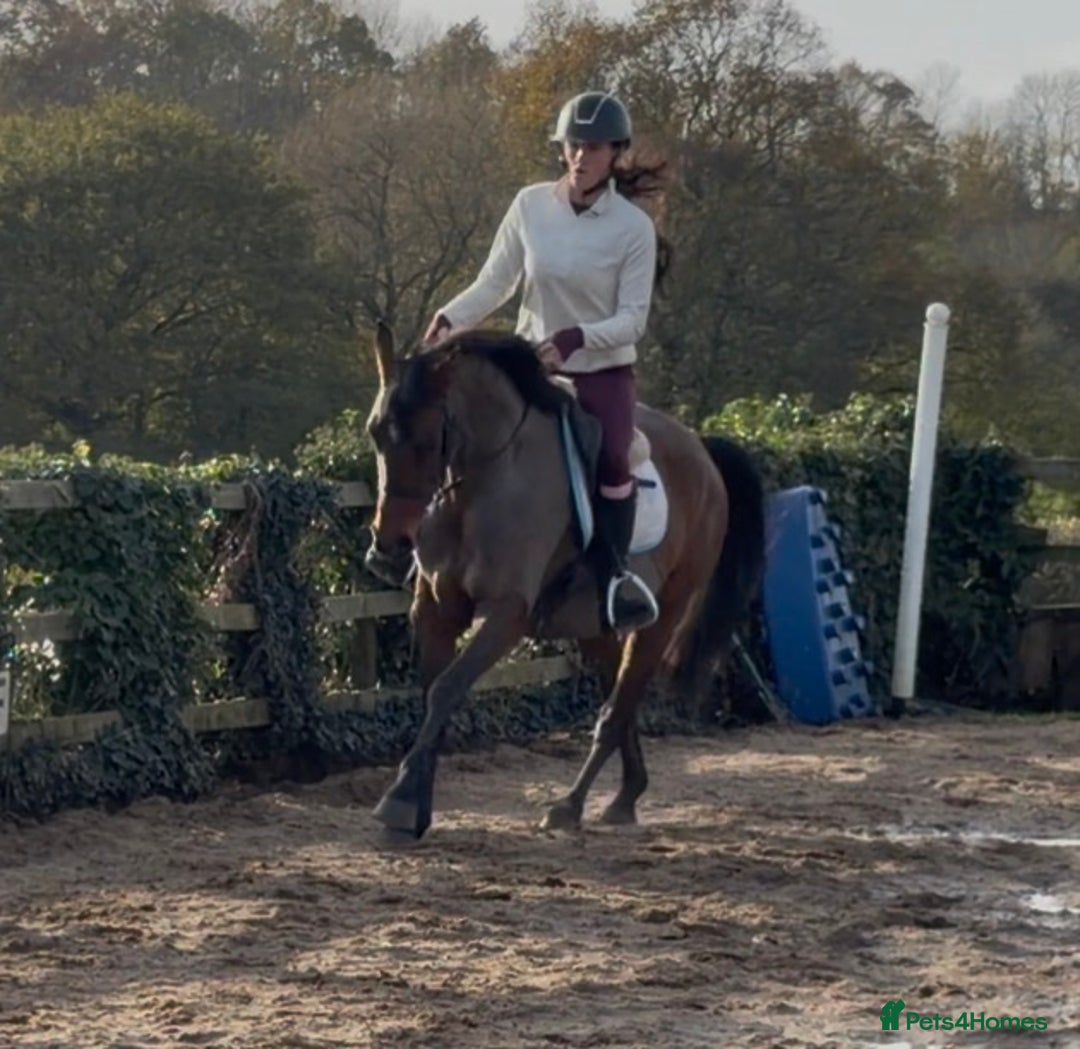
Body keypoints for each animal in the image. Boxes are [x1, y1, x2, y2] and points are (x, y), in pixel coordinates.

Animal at [363, 323, 765, 840]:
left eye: (428, 437)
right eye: (375, 433)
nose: (389, 547)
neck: (482, 483)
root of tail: (702, 450)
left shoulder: (506, 613)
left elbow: (446, 689)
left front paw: (398, 802)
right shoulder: (435, 609)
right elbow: (433, 694)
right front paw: (414, 805)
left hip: (665, 615)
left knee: (617, 709)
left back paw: (570, 806)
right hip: (596, 626)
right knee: (620, 700)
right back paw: (626, 795)